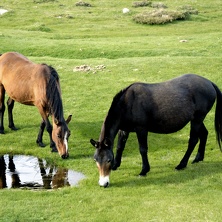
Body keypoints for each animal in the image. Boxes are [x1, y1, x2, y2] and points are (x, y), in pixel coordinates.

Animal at [90, 74, 222, 187]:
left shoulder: (141, 129)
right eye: (96, 159)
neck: (127, 103)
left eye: (108, 160)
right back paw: (198, 158)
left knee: (193, 140)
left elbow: (143, 149)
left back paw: (181, 164)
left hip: (197, 120)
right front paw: (116, 165)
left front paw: (144, 170)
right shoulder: (124, 130)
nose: (103, 184)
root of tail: (209, 82)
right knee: (204, 134)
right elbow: (119, 147)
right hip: (196, 119)